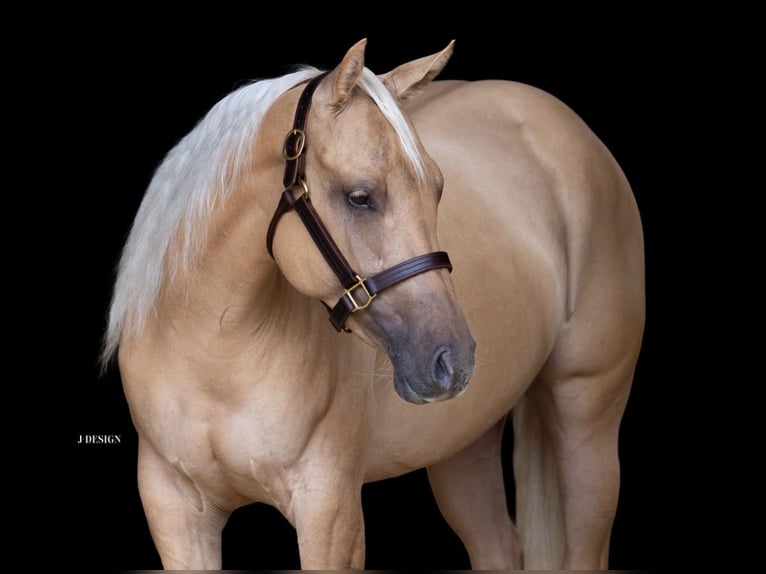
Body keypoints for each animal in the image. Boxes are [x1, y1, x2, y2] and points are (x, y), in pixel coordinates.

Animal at [101, 38, 644, 570]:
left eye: (438, 189)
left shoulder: (330, 512)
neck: (214, 356)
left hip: (588, 416)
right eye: (360, 196)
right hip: (463, 445)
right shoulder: (175, 511)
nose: (452, 359)